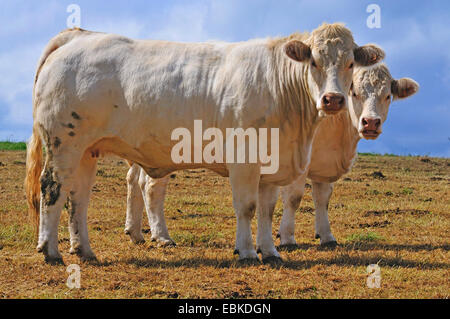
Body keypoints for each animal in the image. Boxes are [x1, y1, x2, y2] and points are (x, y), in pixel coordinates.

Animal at [24, 23, 384, 264]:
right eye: (313, 62)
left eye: (350, 63)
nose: (333, 99)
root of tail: (80, 35)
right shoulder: (244, 159)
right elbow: (247, 207)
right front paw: (247, 252)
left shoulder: (272, 162)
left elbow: (267, 209)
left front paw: (270, 251)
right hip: (64, 143)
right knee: (52, 188)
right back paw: (51, 250)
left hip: (87, 150)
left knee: (79, 198)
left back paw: (84, 249)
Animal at [124, 64, 418, 248]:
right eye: (354, 92)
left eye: (388, 95)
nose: (371, 122)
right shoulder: (298, 162)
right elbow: (295, 198)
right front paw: (287, 238)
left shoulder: (323, 163)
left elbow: (323, 199)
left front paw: (326, 236)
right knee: (152, 188)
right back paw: (161, 235)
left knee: (134, 181)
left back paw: (135, 231)